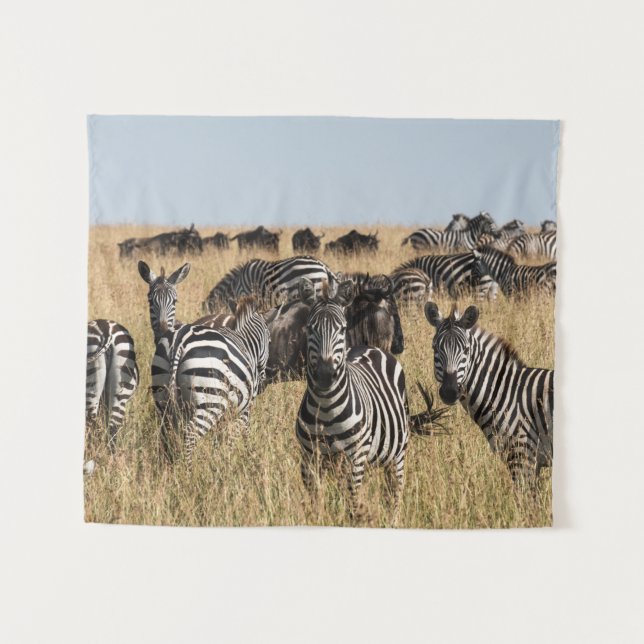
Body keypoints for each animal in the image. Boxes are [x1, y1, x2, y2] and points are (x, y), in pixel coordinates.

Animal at [151, 296, 270, 466]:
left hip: (163, 398)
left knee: (167, 435)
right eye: (270, 340)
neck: (245, 342)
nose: (262, 385)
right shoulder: (244, 408)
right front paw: (236, 458)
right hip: (210, 401)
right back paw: (188, 470)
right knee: (190, 435)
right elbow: (236, 435)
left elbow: (220, 439)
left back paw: (169, 468)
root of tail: (179, 340)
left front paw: (218, 460)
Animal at [296, 279, 446, 520]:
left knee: (394, 494)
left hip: (397, 456)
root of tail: (370, 347)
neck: (326, 407)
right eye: (310, 328)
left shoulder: (355, 458)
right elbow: (315, 504)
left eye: (342, 328)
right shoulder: (309, 459)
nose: (326, 375)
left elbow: (352, 503)